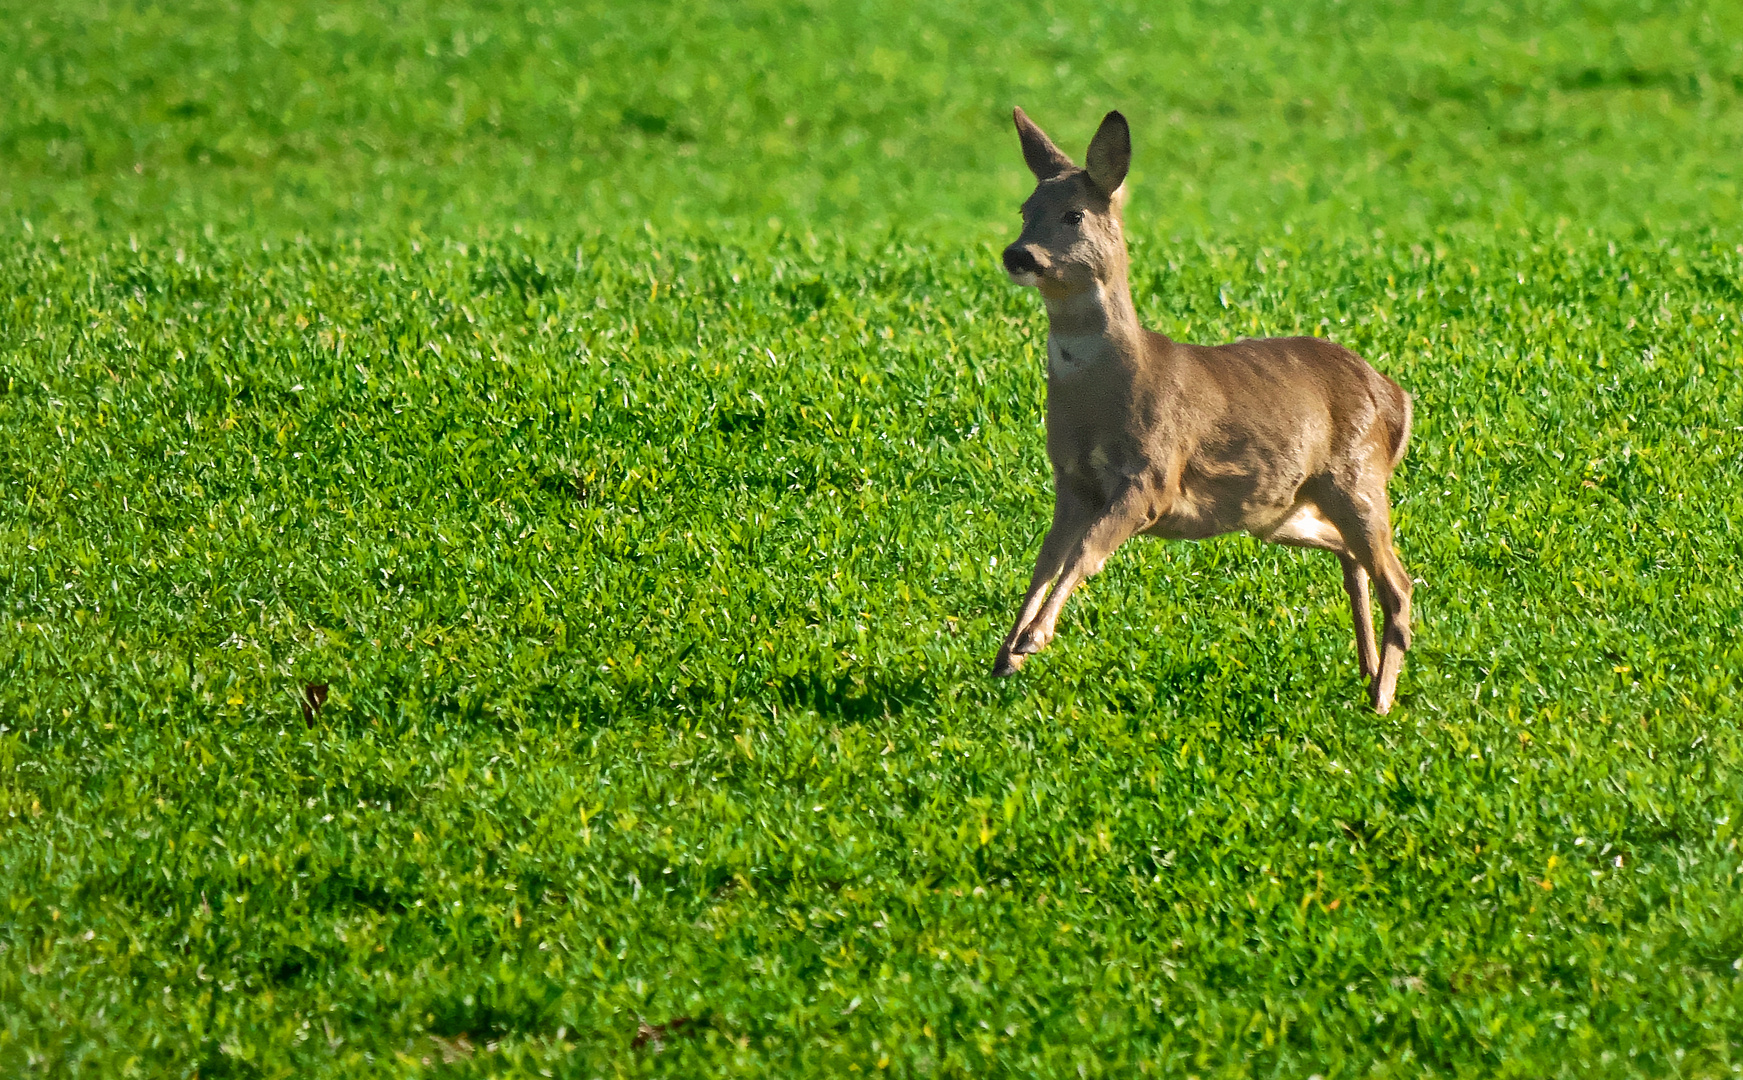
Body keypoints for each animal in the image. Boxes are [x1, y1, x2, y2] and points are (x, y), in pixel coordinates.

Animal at [996, 107, 1415, 717]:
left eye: (1074, 214)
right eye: (1026, 210)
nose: (1018, 254)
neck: (1110, 391)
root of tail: (1398, 400)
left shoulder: (1152, 474)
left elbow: (1086, 555)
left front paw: (1032, 641)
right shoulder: (1071, 480)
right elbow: (1044, 562)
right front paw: (1006, 652)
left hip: (1357, 475)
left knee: (1400, 582)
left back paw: (1382, 697)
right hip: (1282, 508)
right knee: (1353, 557)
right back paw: (1365, 672)